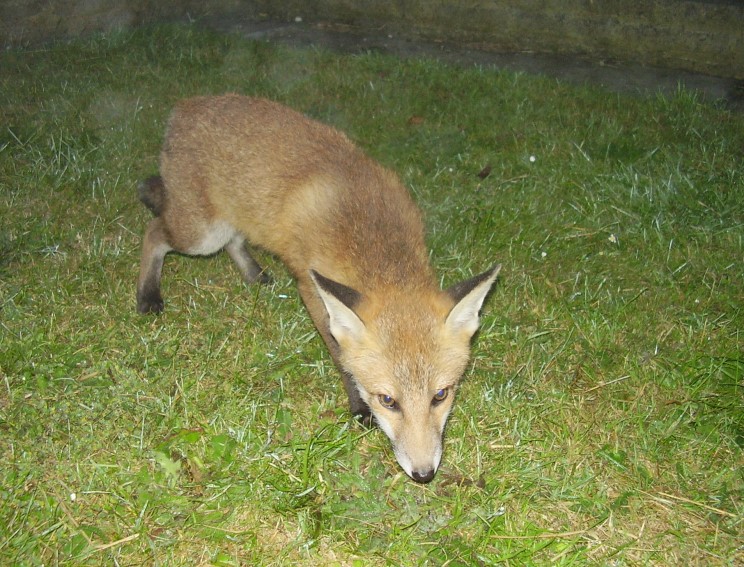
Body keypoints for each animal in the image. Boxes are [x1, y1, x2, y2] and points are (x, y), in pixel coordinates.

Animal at [138, 94, 500, 484]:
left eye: (440, 395)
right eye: (388, 401)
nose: (423, 474)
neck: (373, 240)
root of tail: (188, 104)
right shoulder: (310, 289)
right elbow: (339, 353)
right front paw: (357, 406)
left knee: (234, 239)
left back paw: (254, 273)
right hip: (201, 236)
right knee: (154, 233)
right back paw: (147, 294)